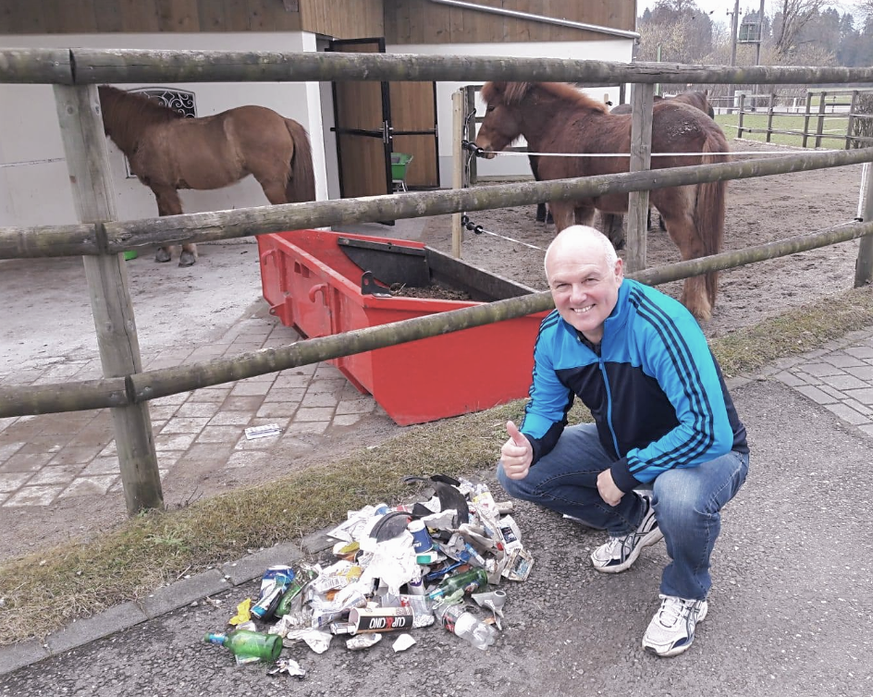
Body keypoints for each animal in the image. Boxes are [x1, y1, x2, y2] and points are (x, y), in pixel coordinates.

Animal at [99, 84, 316, 264]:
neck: (146, 131)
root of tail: (282, 120)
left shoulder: (164, 187)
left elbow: (175, 216)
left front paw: (187, 254)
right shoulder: (159, 189)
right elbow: (164, 217)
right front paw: (164, 252)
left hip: (272, 184)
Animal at [476, 81, 728, 320]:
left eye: (492, 107)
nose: (480, 146)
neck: (560, 126)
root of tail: (705, 129)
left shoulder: (561, 205)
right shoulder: (585, 207)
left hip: (675, 213)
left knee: (694, 250)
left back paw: (693, 306)